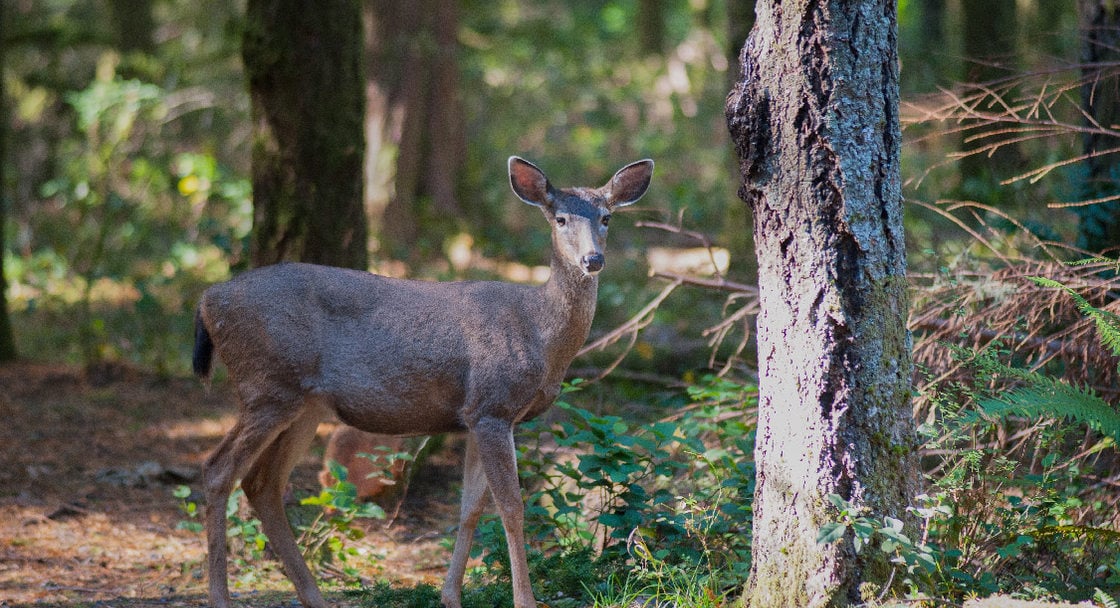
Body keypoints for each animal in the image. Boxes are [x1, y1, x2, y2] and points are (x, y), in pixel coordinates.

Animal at [189, 155, 654, 608]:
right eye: (560, 218)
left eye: (607, 217)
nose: (592, 260)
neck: (540, 334)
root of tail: (207, 299)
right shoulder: (493, 406)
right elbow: (511, 506)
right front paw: (525, 600)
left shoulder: (476, 415)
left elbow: (469, 508)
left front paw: (450, 596)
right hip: (267, 385)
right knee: (217, 470)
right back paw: (221, 597)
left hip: (304, 404)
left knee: (262, 483)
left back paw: (314, 596)